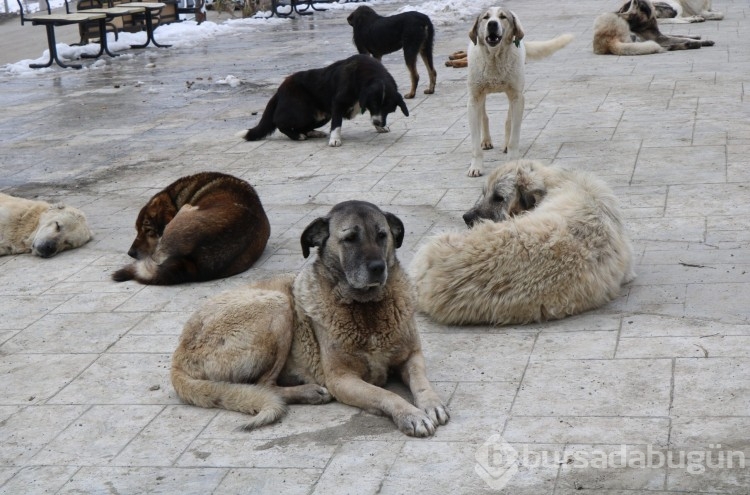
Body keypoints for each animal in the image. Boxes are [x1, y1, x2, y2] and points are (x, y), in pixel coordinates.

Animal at [173, 201, 450, 438]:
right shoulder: (342, 380)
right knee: (264, 385)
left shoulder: (412, 356)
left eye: (382, 235)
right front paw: (410, 414)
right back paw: (308, 392)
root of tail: (178, 357)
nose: (378, 268)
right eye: (349, 239)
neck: (367, 308)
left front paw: (431, 403)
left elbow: (421, 382)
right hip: (277, 307)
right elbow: (385, 394)